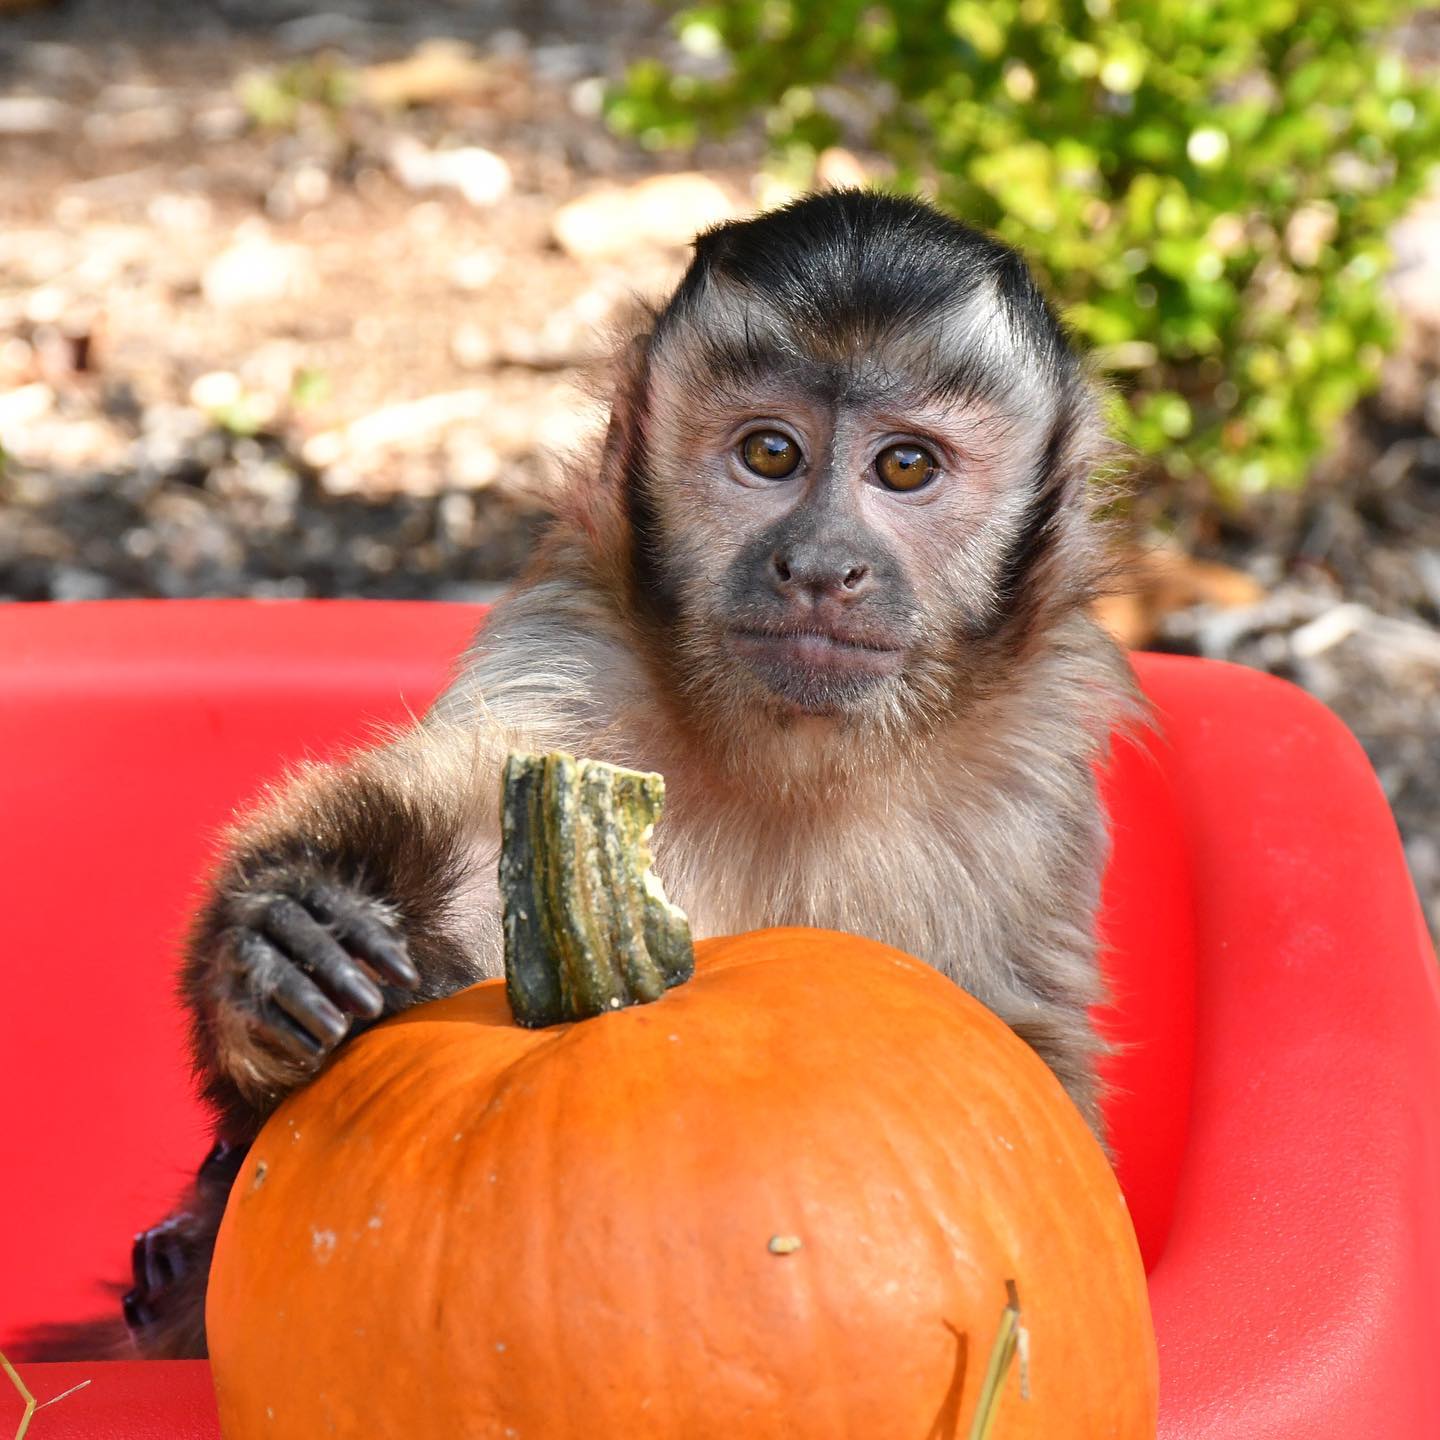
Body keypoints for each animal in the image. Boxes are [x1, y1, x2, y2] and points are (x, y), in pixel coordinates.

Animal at [89, 189, 1137, 1360]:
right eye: (769, 453)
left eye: (905, 467)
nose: (821, 566)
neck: (791, 760)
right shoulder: (565, 661)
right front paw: (281, 939)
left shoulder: (1028, 782)